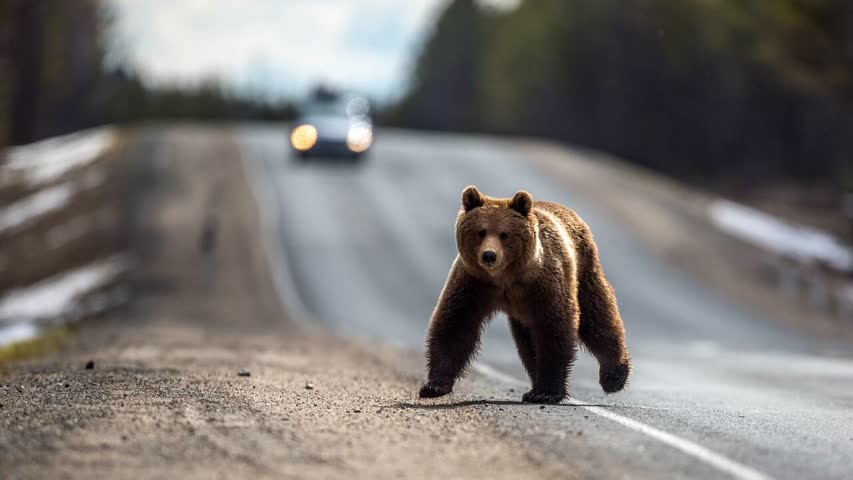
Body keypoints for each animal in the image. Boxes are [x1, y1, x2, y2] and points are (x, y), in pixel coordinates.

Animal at [416, 186, 628, 404]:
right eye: (481, 231)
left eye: (504, 234)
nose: (489, 255)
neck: (506, 277)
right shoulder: (474, 283)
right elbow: (455, 324)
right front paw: (433, 386)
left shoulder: (544, 285)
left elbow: (555, 330)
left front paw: (547, 392)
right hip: (523, 313)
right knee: (527, 343)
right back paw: (533, 388)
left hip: (583, 271)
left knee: (598, 317)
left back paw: (614, 376)